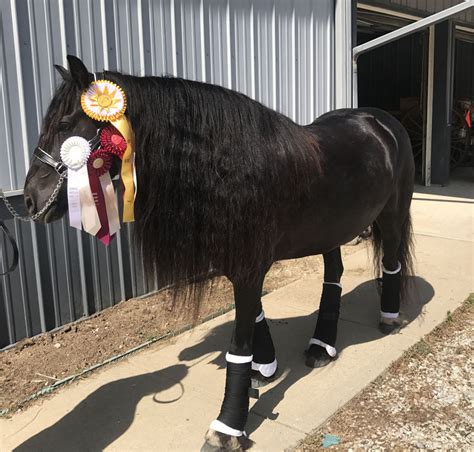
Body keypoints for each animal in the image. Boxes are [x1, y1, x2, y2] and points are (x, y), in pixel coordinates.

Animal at [23, 54, 414, 450]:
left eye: (65, 124)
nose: (30, 200)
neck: (231, 168)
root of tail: (380, 120)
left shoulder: (250, 267)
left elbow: (238, 344)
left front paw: (227, 427)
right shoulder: (238, 265)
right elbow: (255, 316)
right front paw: (264, 369)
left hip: (393, 214)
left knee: (391, 262)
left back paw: (389, 318)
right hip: (330, 230)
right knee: (333, 276)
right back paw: (321, 346)